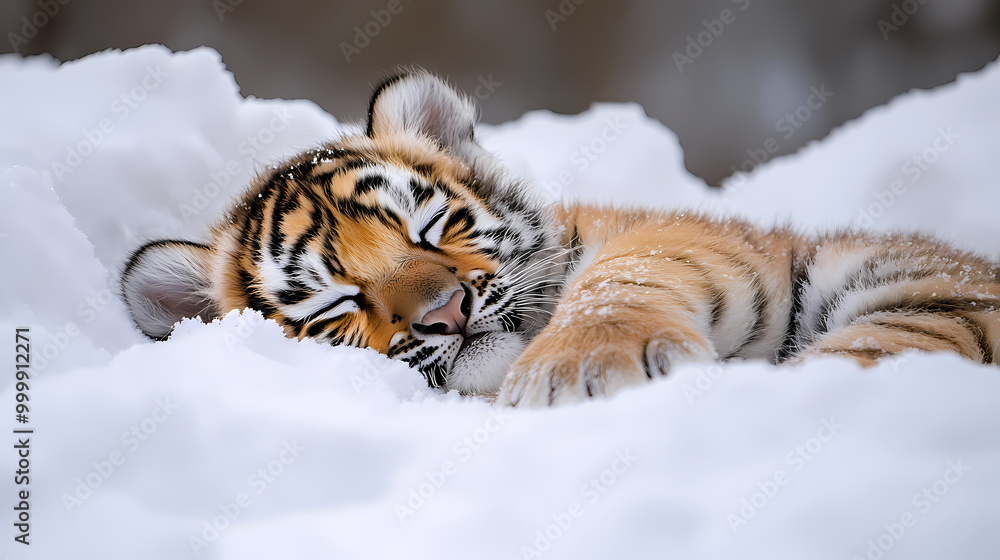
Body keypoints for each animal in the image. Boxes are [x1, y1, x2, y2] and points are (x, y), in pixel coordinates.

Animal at [121, 70, 1000, 407]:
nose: (446, 314)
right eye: (338, 302)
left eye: (430, 227)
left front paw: (576, 371)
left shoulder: (675, 239)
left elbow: (624, 276)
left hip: (910, 286)